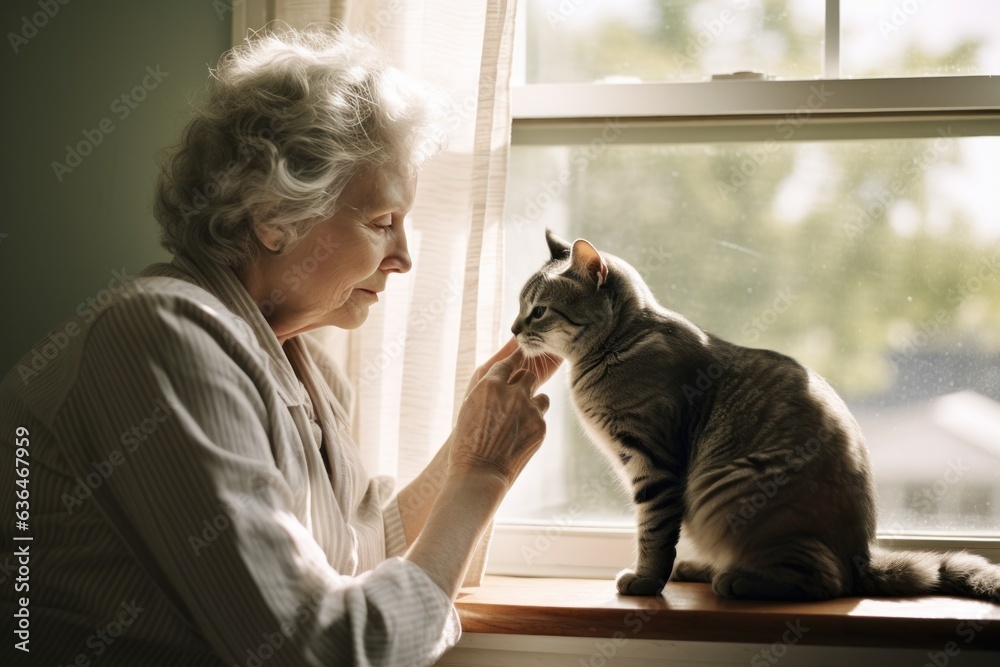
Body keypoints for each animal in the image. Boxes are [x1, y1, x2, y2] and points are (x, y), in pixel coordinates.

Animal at [516, 232, 1000, 604]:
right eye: (522, 307)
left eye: (538, 310)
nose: (513, 330)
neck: (619, 345)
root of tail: (862, 555)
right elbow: (659, 533)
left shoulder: (654, 465)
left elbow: (653, 533)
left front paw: (647, 581)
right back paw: (701, 567)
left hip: (734, 491)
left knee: (827, 581)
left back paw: (735, 580)